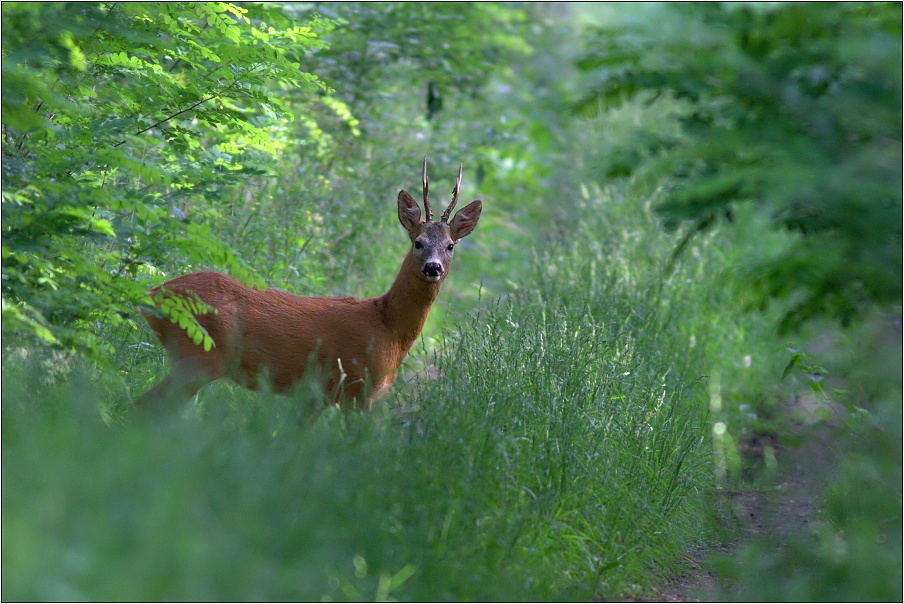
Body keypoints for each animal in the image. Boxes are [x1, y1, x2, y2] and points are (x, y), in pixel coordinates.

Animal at [133, 158, 480, 410]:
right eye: (418, 243)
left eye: (450, 246)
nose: (433, 267)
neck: (387, 326)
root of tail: (153, 294)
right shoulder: (355, 388)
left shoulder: (317, 396)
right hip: (198, 357)